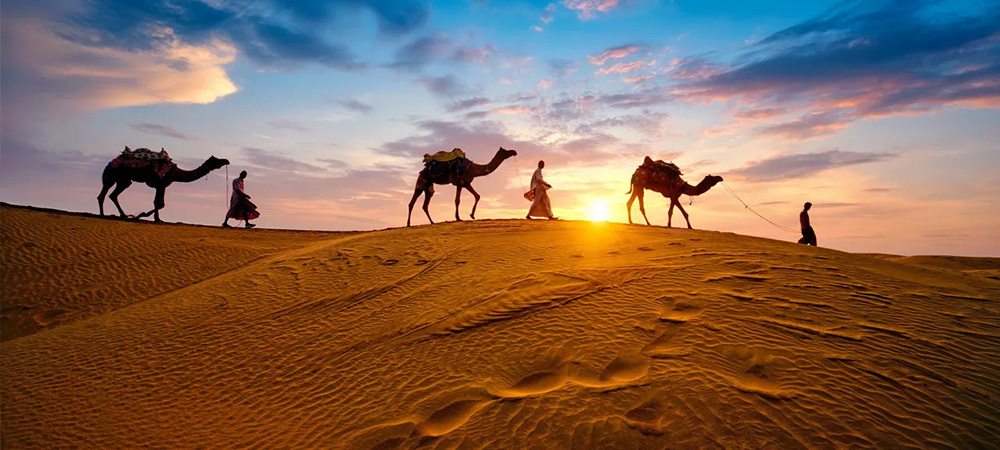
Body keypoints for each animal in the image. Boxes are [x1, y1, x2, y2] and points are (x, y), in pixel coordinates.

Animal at [98, 149, 230, 222]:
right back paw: (103, 214)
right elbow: (160, 203)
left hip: (123, 180)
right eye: (216, 160)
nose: (227, 160)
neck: (175, 173)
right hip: (112, 175)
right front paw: (145, 216)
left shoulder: (162, 185)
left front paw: (152, 217)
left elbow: (159, 203)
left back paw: (123, 215)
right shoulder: (161, 183)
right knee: (104, 194)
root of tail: (109, 163)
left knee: (112, 195)